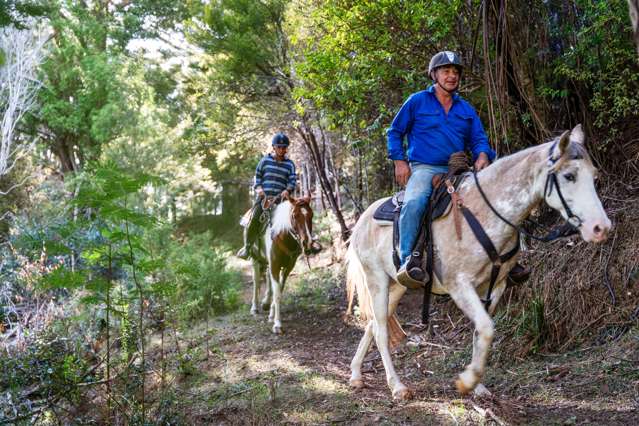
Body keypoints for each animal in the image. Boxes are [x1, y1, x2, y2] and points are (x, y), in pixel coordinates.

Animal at [249, 196, 320, 332]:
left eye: (311, 215)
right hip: (255, 258)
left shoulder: (288, 267)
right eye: (295, 215)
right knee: (256, 281)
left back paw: (266, 303)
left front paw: (272, 314)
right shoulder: (275, 265)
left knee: (267, 277)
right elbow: (277, 293)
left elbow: (279, 290)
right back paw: (254, 307)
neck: (282, 236)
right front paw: (277, 324)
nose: (307, 243)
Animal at [348, 125, 612, 398]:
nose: (600, 228)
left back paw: (356, 375)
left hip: (398, 285)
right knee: (380, 329)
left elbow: (480, 333)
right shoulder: (459, 285)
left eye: (594, 176)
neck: (486, 213)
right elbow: (486, 327)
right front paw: (467, 381)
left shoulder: (495, 287)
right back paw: (397, 386)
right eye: (569, 176)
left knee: (372, 324)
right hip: (376, 279)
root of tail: (363, 219)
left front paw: (479, 386)